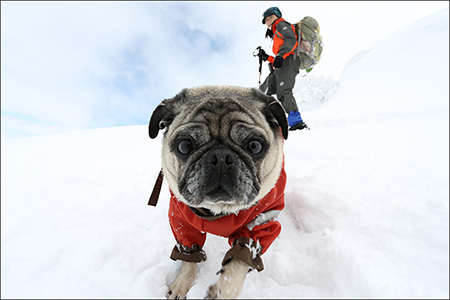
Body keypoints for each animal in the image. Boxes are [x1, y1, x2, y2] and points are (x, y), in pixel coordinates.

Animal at [148, 85, 288, 298]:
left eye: (255, 146)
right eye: (184, 146)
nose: (221, 157)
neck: (220, 210)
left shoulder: (259, 226)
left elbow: (237, 265)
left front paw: (222, 290)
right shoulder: (182, 223)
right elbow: (189, 258)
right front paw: (182, 284)